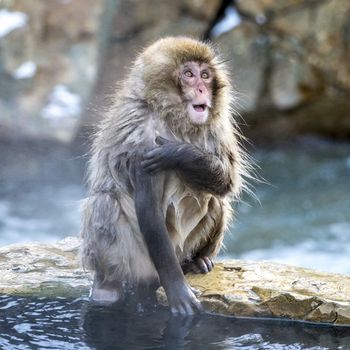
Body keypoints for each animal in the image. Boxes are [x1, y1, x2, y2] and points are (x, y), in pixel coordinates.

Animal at [81, 37, 249, 314]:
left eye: (205, 75)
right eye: (189, 75)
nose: (202, 89)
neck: (171, 117)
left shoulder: (217, 126)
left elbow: (227, 181)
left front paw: (178, 153)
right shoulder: (140, 138)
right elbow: (147, 206)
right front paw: (177, 289)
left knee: (216, 200)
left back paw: (196, 261)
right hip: (139, 261)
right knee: (104, 202)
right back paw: (108, 286)